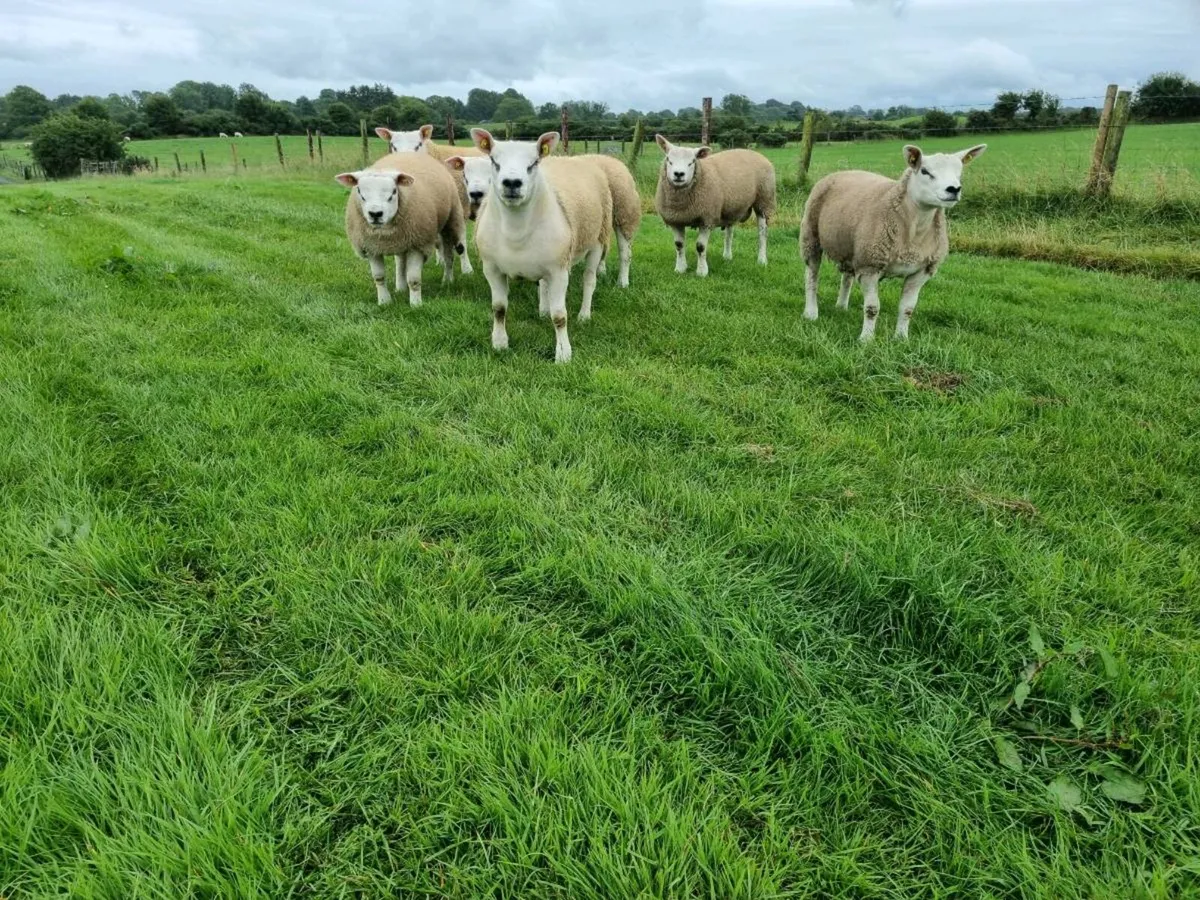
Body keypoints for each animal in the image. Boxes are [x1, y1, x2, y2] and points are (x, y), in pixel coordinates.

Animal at [335, 151, 467, 308]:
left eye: (393, 192)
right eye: (360, 192)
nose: (375, 214)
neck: (384, 233)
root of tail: (409, 152)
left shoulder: (418, 244)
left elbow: (414, 279)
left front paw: (416, 305)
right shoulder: (371, 247)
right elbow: (379, 277)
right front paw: (384, 301)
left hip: (450, 221)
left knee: (448, 256)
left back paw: (447, 280)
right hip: (402, 240)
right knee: (400, 262)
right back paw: (401, 287)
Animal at [471, 128, 612, 364]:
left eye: (534, 162)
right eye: (493, 160)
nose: (512, 183)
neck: (516, 233)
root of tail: (570, 158)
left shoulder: (559, 270)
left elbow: (560, 316)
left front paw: (563, 354)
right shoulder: (492, 268)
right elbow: (499, 308)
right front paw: (499, 343)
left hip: (597, 239)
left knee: (589, 281)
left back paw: (584, 315)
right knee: (544, 284)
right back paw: (543, 310)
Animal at [653, 135, 776, 277]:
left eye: (692, 161)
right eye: (669, 160)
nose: (679, 174)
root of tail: (757, 154)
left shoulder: (707, 218)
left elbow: (700, 246)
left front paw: (702, 271)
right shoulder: (676, 220)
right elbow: (679, 245)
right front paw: (680, 268)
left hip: (764, 200)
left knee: (762, 233)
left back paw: (762, 260)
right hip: (731, 206)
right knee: (729, 231)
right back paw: (727, 256)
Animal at [800, 143, 987, 342]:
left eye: (959, 171)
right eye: (924, 171)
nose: (954, 189)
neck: (914, 232)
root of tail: (841, 172)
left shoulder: (922, 271)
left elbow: (907, 309)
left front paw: (901, 339)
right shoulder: (870, 266)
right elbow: (872, 308)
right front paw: (866, 340)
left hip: (853, 247)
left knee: (847, 276)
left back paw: (841, 307)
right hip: (811, 236)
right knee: (811, 276)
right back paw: (811, 312)